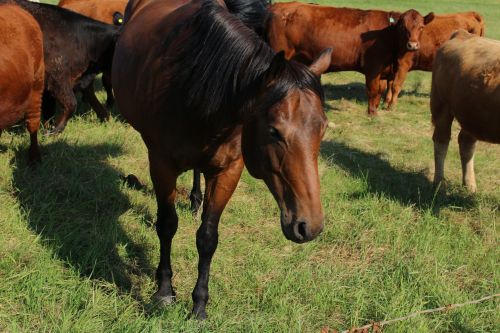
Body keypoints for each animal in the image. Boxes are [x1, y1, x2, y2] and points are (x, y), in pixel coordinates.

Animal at [113, 0, 332, 318]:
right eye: (274, 131)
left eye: (323, 128)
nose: (309, 226)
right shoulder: (162, 165)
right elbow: (166, 225)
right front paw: (164, 292)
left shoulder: (228, 171)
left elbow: (208, 238)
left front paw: (199, 306)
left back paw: (195, 199)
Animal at [268, 1, 436, 115]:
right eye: (403, 27)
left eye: (421, 27)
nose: (412, 45)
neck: (388, 34)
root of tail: (280, 5)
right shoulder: (373, 68)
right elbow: (373, 90)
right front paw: (372, 114)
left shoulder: (383, 71)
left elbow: (380, 90)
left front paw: (375, 110)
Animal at [432, 30, 498, 192]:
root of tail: (462, 34)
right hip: (441, 105)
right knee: (441, 141)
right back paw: (439, 183)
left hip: (472, 115)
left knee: (466, 143)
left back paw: (470, 186)